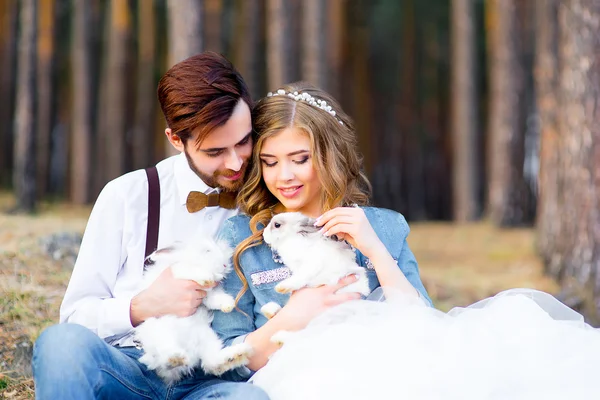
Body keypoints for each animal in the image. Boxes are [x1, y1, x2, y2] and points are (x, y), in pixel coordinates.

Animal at [132, 236, 252, 382]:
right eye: (207, 251)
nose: (225, 265)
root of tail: (189, 350)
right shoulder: (179, 273)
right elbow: (192, 272)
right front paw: (206, 277)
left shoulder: (205, 297)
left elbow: (214, 298)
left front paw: (228, 305)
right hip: (161, 333)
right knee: (165, 356)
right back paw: (176, 358)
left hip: (207, 337)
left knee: (211, 363)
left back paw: (235, 355)